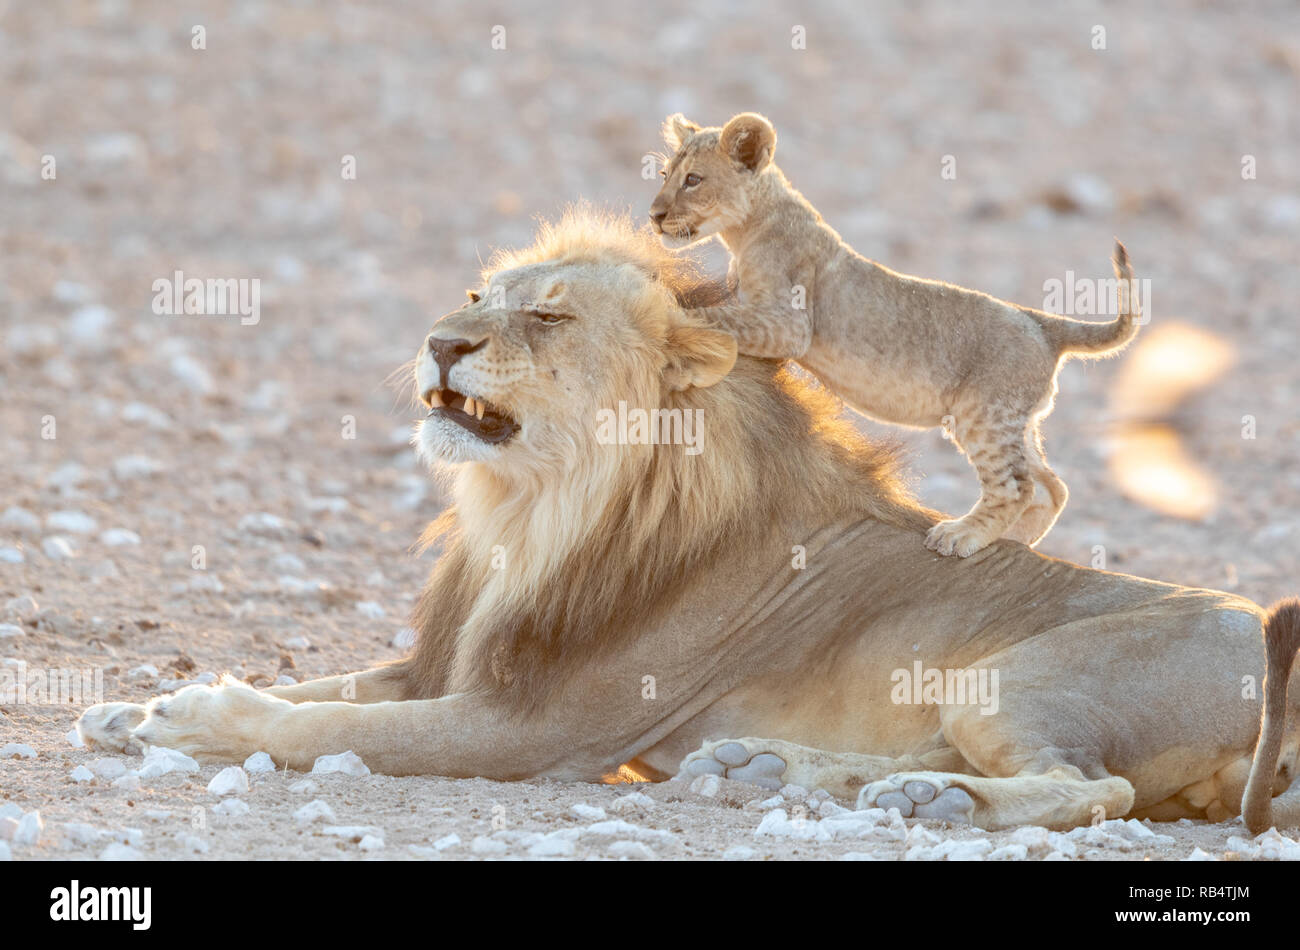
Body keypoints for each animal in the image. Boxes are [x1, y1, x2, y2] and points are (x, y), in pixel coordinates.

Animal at [83, 210, 1300, 831]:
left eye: (547, 316)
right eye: (477, 297)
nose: (439, 341)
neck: (534, 509)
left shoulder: (536, 728)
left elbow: (330, 727)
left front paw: (202, 717)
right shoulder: (458, 660)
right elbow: (328, 686)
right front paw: (136, 704)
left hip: (1012, 679)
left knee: (1092, 789)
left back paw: (932, 799)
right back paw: (783, 772)